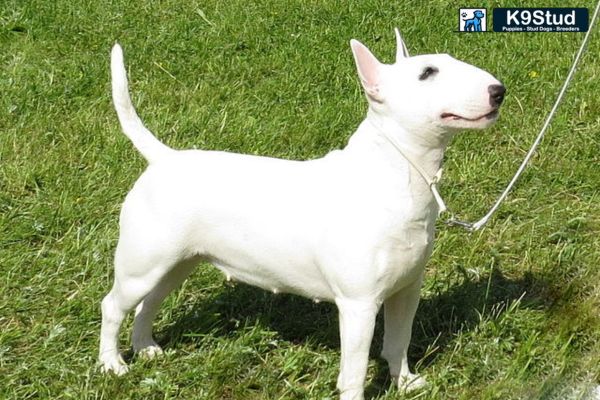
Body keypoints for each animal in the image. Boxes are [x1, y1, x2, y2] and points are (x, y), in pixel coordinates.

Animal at [101, 28, 504, 400]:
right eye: (427, 73)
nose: (498, 90)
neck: (396, 172)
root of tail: (164, 158)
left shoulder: (407, 288)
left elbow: (399, 338)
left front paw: (405, 382)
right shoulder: (358, 305)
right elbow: (355, 368)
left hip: (178, 261)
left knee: (150, 301)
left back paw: (145, 348)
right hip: (143, 263)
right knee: (113, 305)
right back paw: (112, 364)